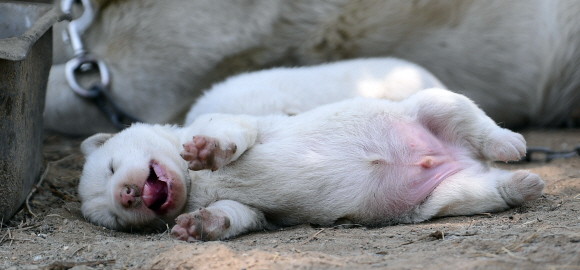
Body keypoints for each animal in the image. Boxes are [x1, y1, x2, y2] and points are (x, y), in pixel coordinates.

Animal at [77, 89, 544, 242]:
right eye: (115, 218)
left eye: (112, 166)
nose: (127, 193)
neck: (195, 187)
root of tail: (461, 157)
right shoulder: (254, 213)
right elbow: (232, 215)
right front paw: (197, 225)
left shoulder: (238, 123)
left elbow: (229, 136)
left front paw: (208, 151)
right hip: (438, 200)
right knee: (482, 192)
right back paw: (521, 185)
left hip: (435, 103)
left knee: (477, 122)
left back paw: (510, 143)